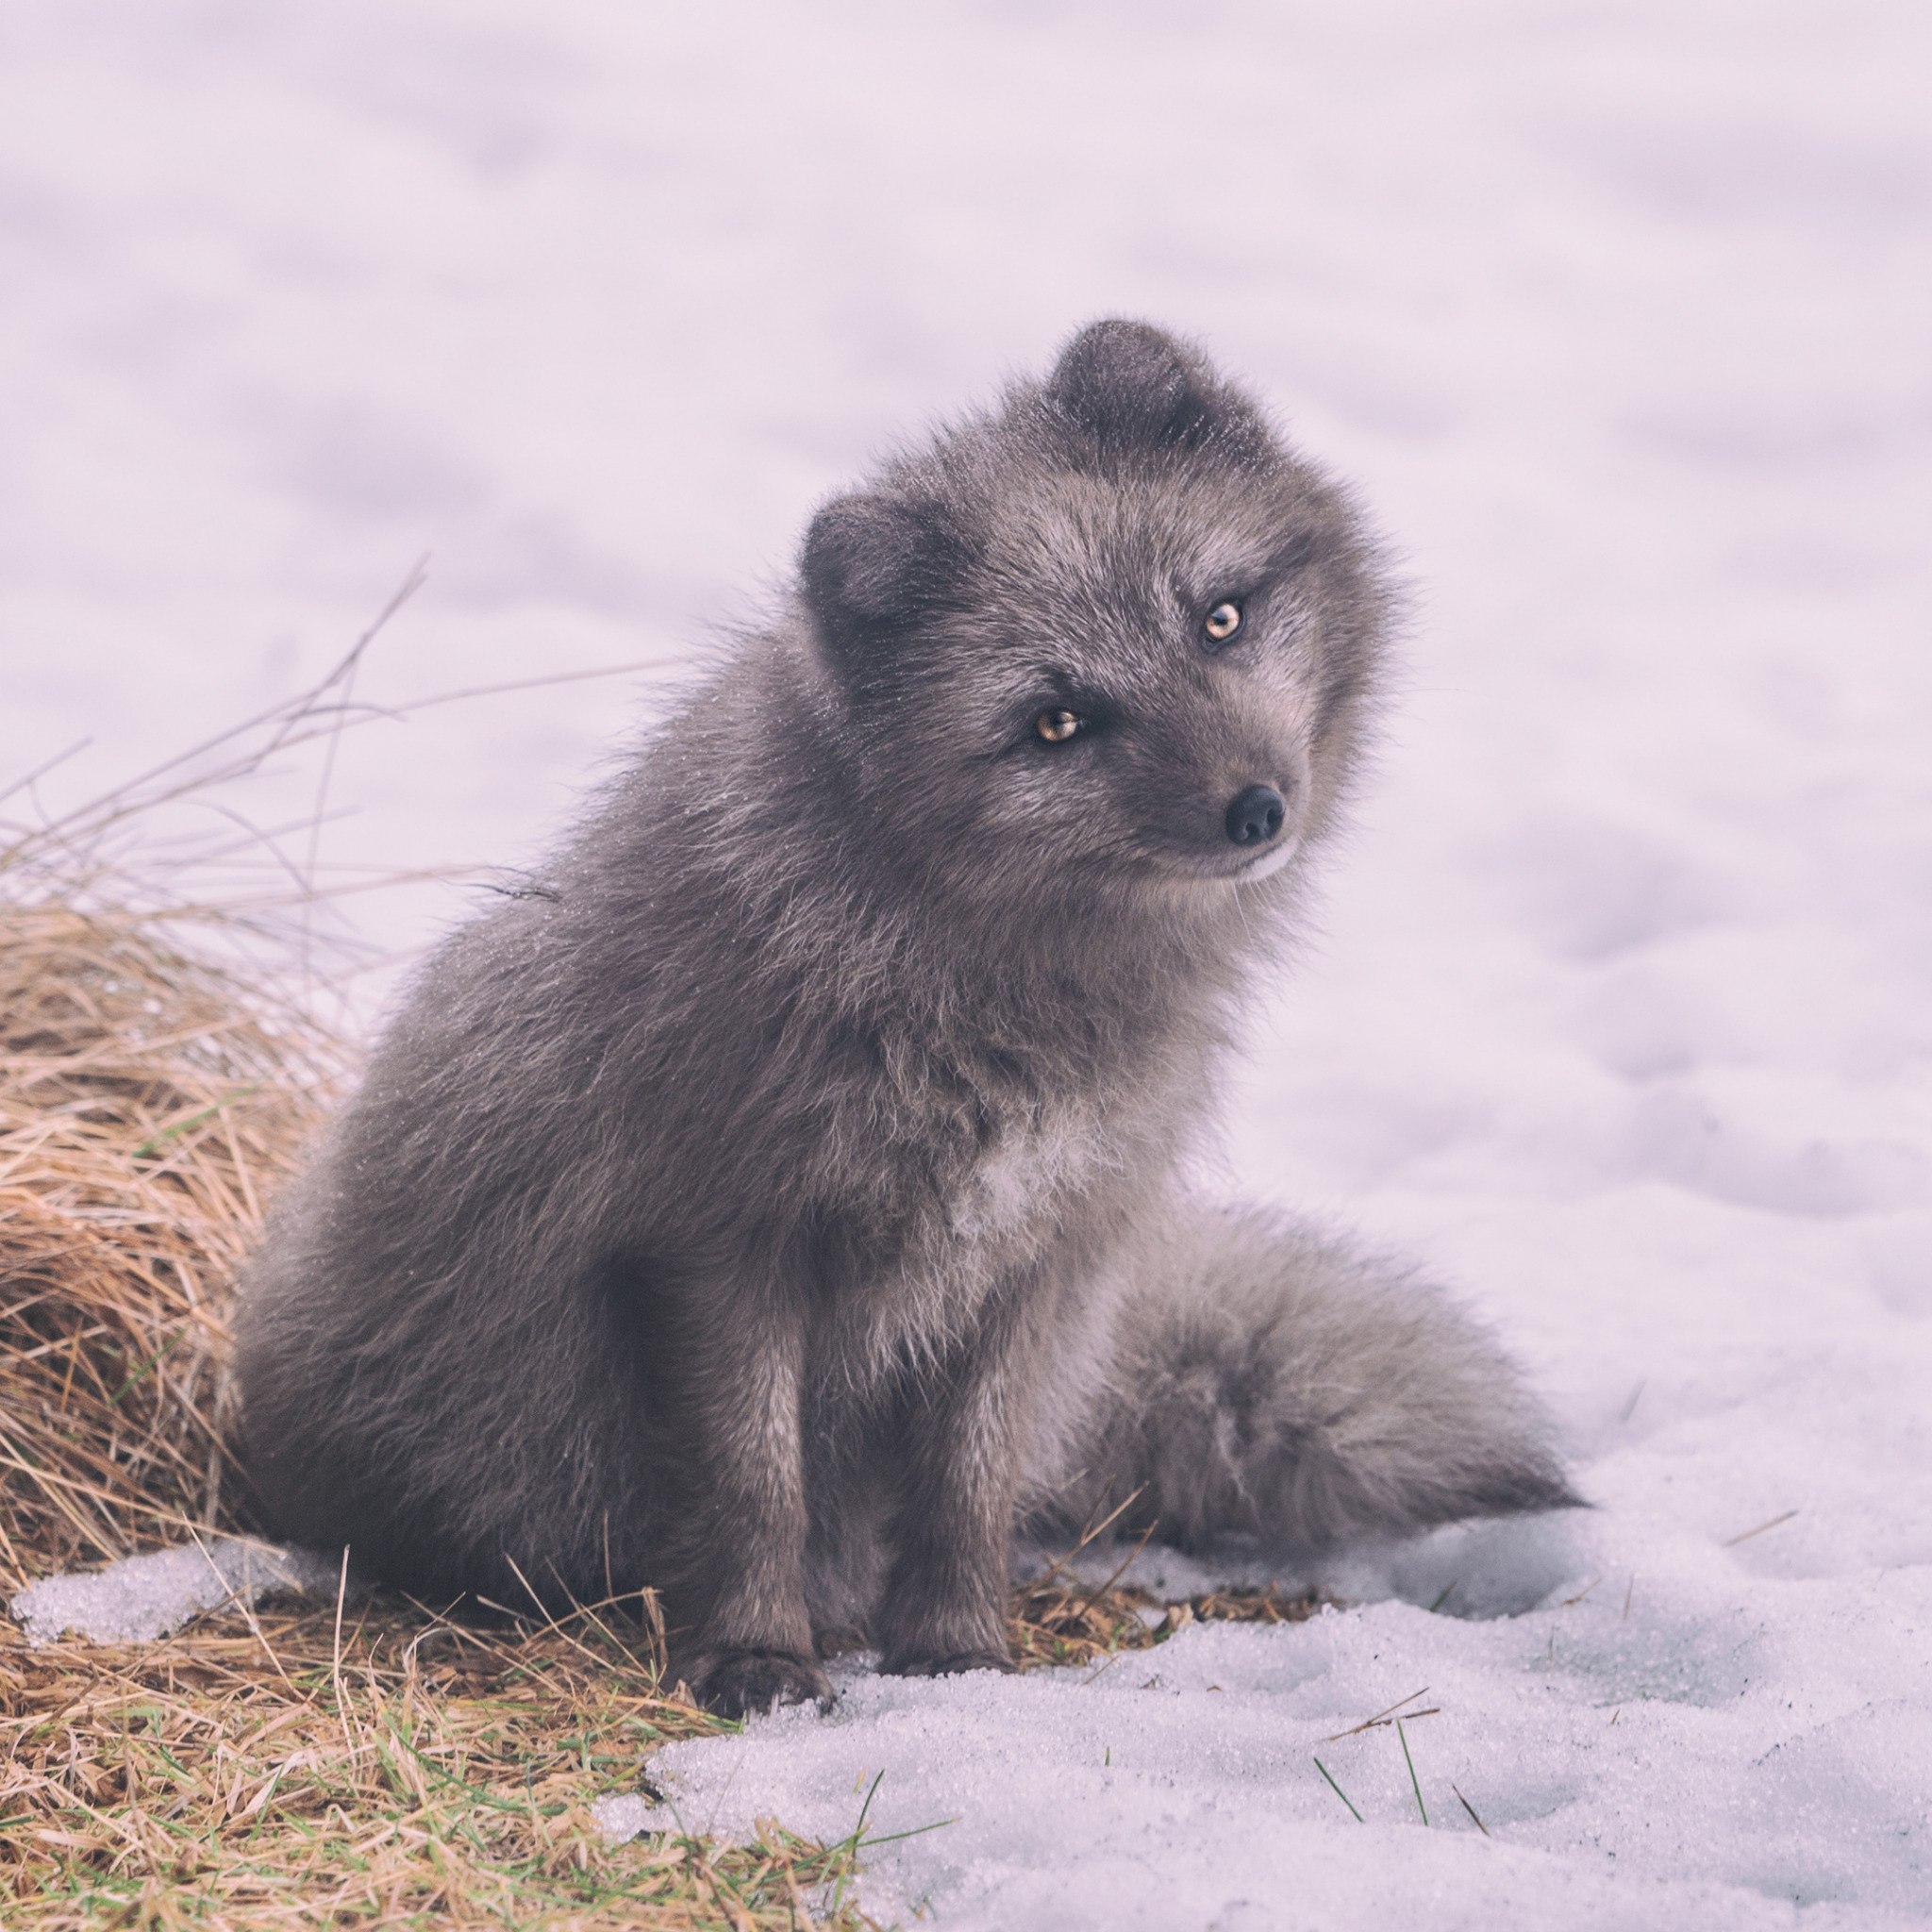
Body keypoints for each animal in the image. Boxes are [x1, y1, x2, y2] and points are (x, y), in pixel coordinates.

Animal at [233, 325, 1576, 1715]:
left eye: (1219, 616)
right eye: (1057, 722)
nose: (1256, 810)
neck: (984, 998)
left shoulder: (1030, 1259)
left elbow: (967, 1488)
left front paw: (958, 1657)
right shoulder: (721, 1247)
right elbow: (753, 1486)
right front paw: (757, 1657)